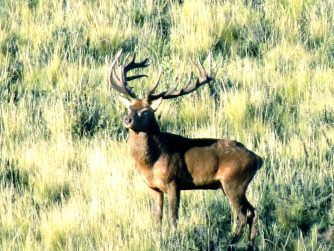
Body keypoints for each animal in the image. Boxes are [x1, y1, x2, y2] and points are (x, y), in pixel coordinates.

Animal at [109, 49, 264, 249]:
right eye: (129, 107)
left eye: (145, 111)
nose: (127, 120)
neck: (151, 161)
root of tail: (258, 159)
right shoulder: (154, 187)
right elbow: (157, 218)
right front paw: (158, 239)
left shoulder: (174, 182)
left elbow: (173, 218)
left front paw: (173, 240)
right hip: (232, 185)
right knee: (253, 211)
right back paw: (249, 244)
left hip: (234, 182)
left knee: (242, 215)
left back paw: (230, 242)